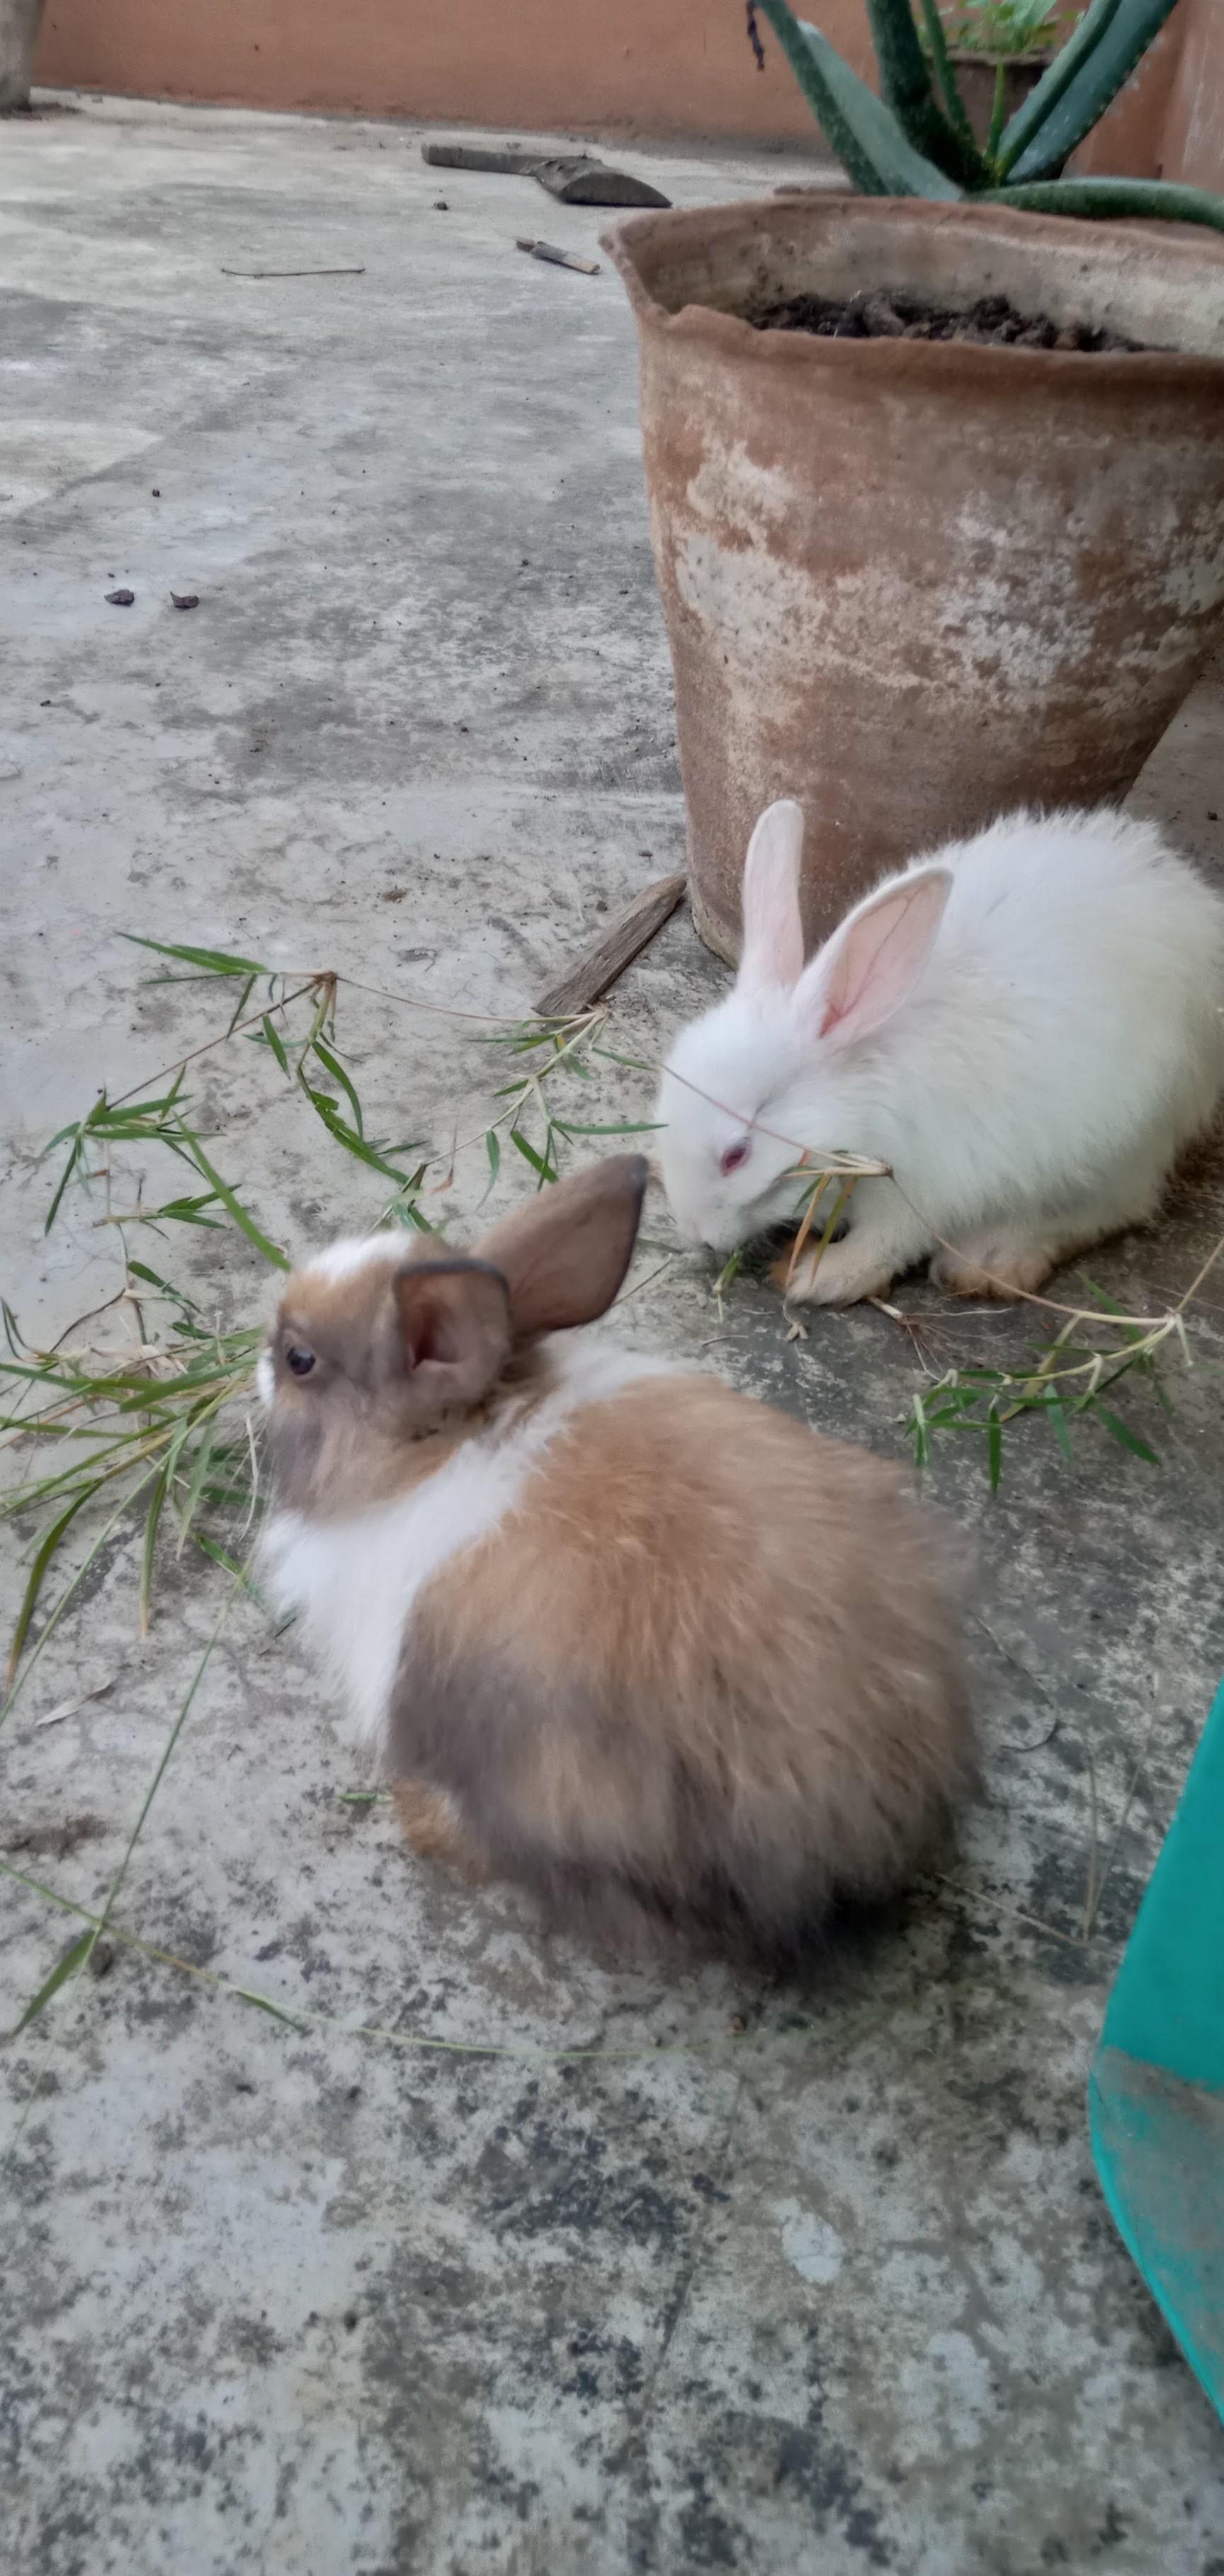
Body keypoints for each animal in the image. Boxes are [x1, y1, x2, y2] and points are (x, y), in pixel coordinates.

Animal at [656, 800, 1224, 1306]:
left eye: (736, 1155)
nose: (694, 1234)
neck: (859, 1094)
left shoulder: (924, 1190)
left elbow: (883, 1243)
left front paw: (816, 1277)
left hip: (1125, 1139)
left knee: (1110, 1208)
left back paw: (990, 1260)